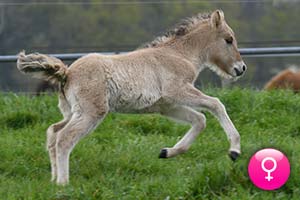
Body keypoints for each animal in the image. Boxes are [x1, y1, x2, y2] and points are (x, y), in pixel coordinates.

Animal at [17, 9, 246, 184]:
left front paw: (166, 152)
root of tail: (67, 72)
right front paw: (234, 150)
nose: (241, 68)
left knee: (53, 132)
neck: (179, 54)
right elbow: (216, 105)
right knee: (64, 138)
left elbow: (200, 120)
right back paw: (63, 184)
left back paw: (53, 180)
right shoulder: (177, 90)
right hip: (92, 113)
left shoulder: (166, 106)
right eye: (229, 40)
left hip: (73, 112)